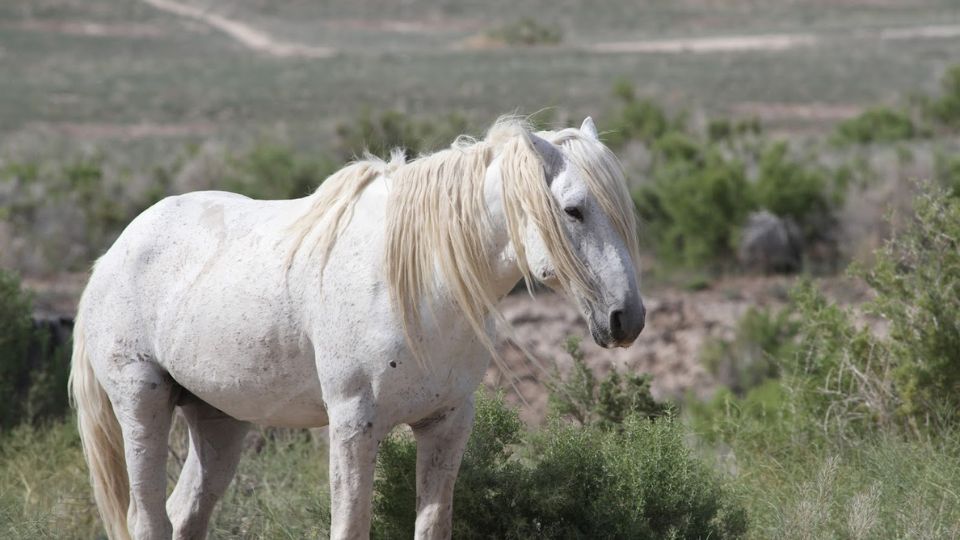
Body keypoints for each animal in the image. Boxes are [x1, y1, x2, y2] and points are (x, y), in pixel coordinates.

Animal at [69, 116, 645, 540]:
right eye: (573, 210)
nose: (628, 318)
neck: (418, 282)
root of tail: (113, 252)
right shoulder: (352, 423)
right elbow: (350, 525)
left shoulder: (447, 422)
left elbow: (432, 524)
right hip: (142, 401)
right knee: (148, 518)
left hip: (219, 419)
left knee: (185, 513)